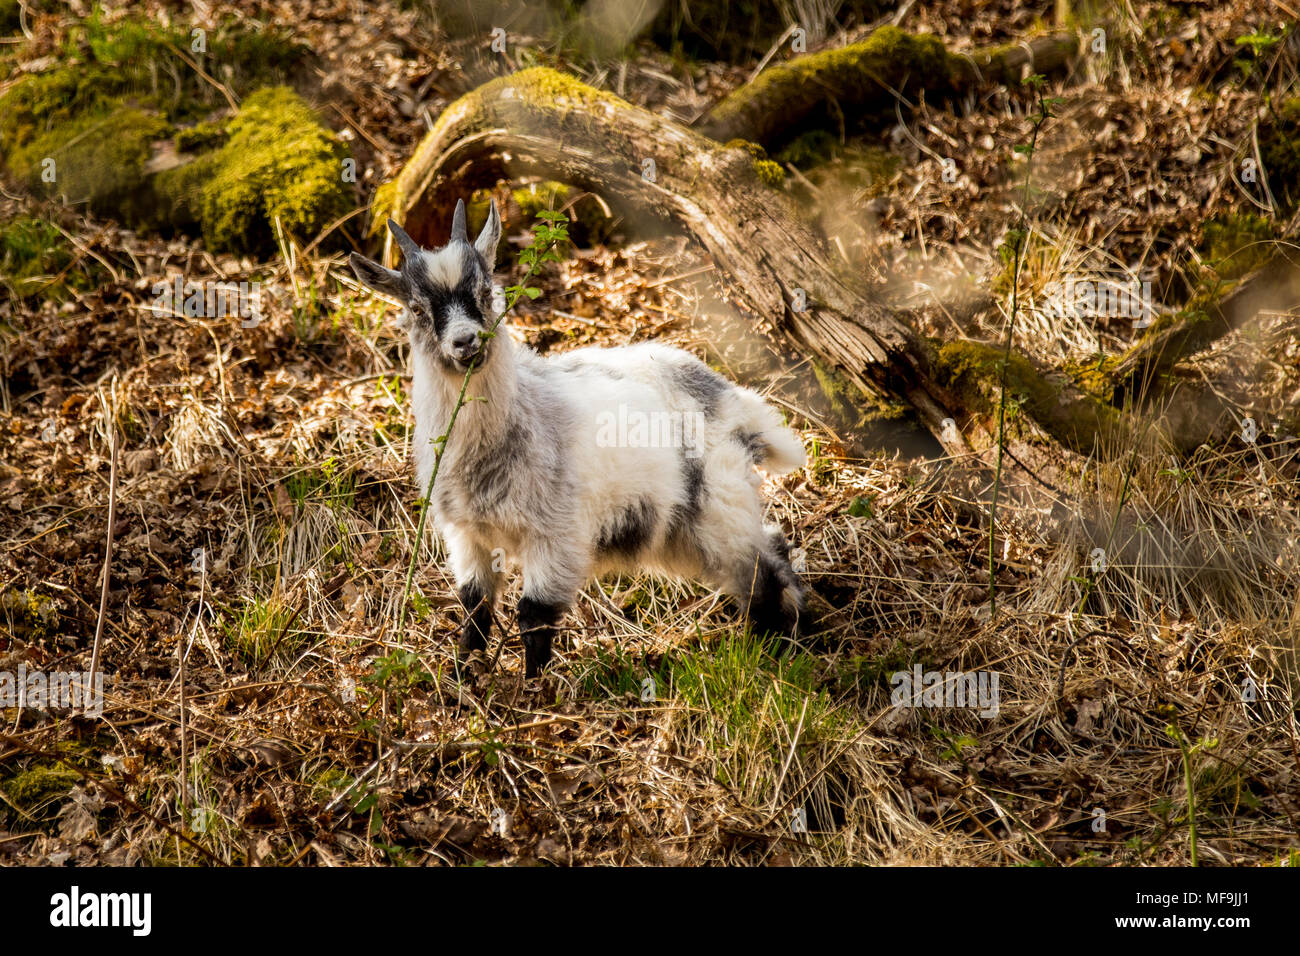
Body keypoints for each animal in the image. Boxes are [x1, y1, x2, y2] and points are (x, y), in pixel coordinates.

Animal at [351, 197, 806, 676]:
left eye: (485, 292)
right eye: (417, 309)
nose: (465, 342)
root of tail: (731, 396)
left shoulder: (556, 534)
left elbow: (533, 616)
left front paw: (533, 688)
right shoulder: (467, 534)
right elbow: (475, 605)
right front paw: (464, 675)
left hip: (718, 504)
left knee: (761, 567)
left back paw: (779, 648)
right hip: (684, 527)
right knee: (769, 546)